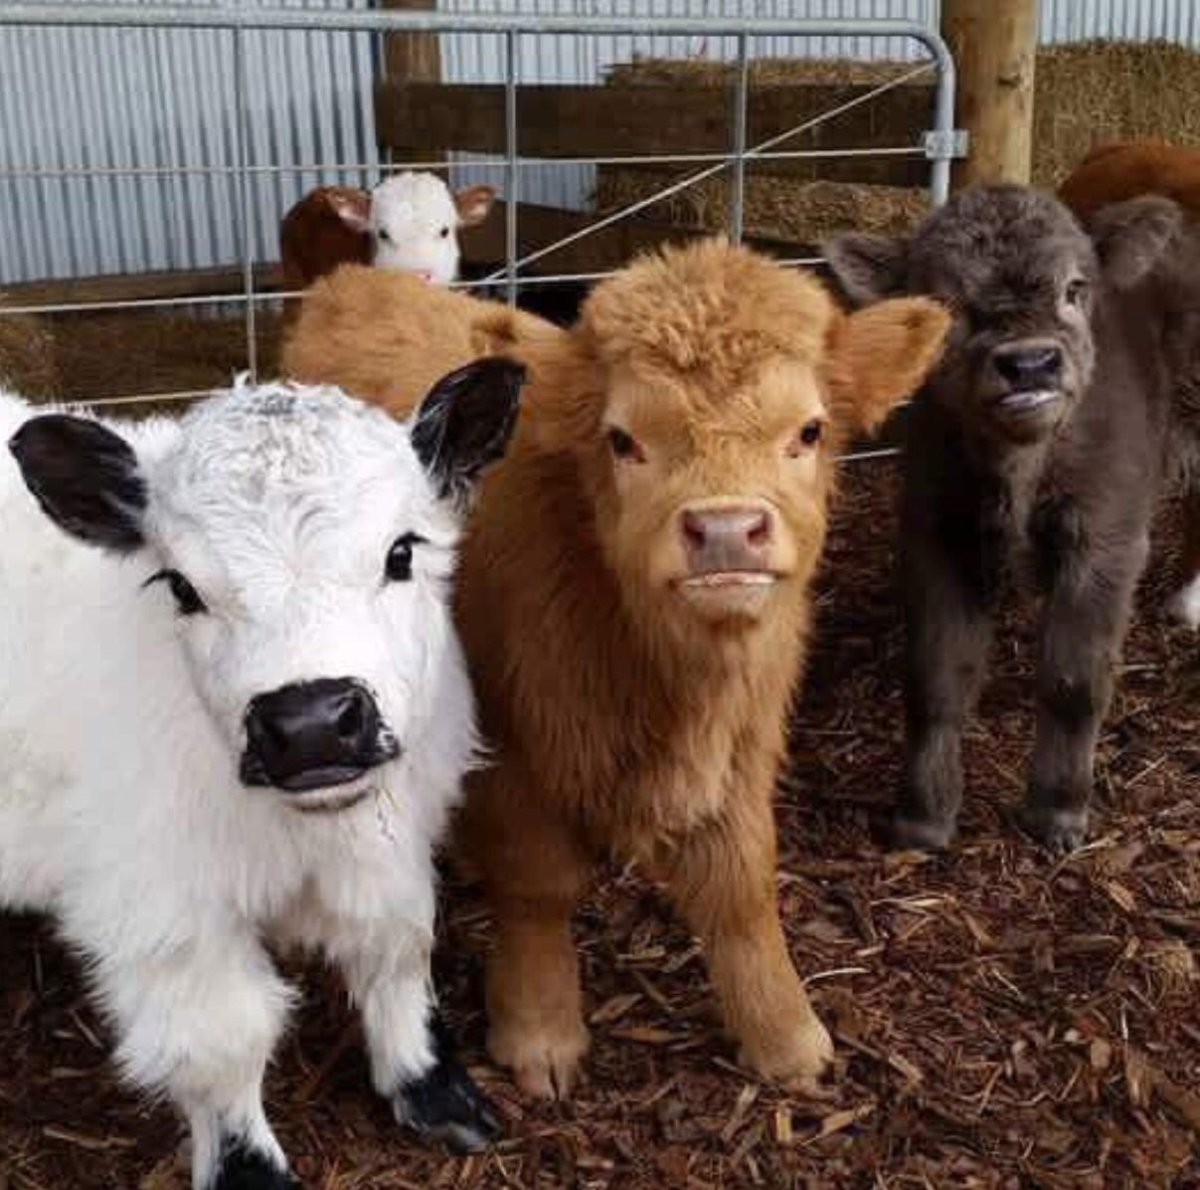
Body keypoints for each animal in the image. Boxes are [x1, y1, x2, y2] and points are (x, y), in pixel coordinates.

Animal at [0, 362, 524, 1189]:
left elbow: (397, 949)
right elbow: (223, 1048)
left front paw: (429, 1084)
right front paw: (250, 1169)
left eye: (401, 553)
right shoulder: (164, 916)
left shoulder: (394, 843)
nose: (310, 723)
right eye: (181, 586)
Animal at [281, 239, 951, 1098]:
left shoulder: (745, 742)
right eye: (623, 440)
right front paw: (539, 1031)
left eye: (809, 430)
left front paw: (785, 1034)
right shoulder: (512, 750)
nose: (725, 529)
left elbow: (742, 887)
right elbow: (537, 887)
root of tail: (354, 283)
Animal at [825, 184, 1198, 853]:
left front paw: (1058, 811)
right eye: (946, 301)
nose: (1029, 365)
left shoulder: (1105, 540)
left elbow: (1073, 682)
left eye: (1075, 288)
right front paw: (923, 817)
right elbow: (936, 679)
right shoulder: (938, 535)